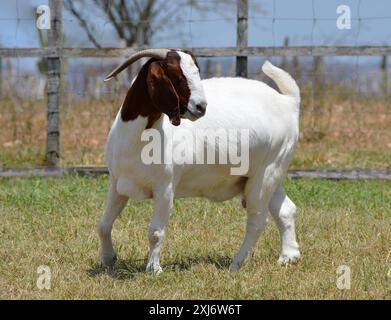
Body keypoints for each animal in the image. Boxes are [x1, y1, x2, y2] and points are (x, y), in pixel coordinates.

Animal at [99, 48, 302, 274]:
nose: (201, 106)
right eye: (178, 76)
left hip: (265, 174)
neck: (137, 138)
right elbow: (104, 224)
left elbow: (156, 232)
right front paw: (108, 259)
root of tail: (289, 102)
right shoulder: (117, 183)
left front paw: (153, 269)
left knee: (257, 220)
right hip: (271, 173)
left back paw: (236, 263)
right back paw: (288, 257)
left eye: (196, 72)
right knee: (286, 210)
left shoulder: (165, 188)